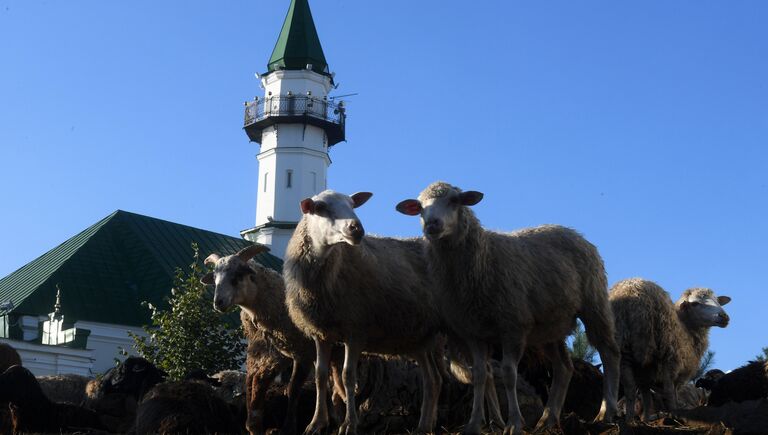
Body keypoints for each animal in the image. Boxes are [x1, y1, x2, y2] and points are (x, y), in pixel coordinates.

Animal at [284, 192, 444, 435]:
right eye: (320, 208)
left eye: (353, 205)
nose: (357, 228)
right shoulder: (321, 333)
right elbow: (320, 376)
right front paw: (316, 423)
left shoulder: (356, 330)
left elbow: (347, 376)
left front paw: (349, 424)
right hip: (419, 338)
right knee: (432, 380)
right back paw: (424, 426)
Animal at [400, 181, 620, 435]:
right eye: (419, 208)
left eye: (454, 200)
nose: (432, 224)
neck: (481, 260)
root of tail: (573, 232)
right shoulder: (473, 332)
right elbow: (479, 375)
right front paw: (474, 424)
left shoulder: (513, 325)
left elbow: (508, 374)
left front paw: (514, 423)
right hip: (550, 325)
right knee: (564, 367)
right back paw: (547, 420)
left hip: (594, 303)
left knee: (609, 353)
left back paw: (606, 412)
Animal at [608, 280, 728, 422]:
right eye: (695, 303)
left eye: (718, 301)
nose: (724, 316)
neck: (687, 330)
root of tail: (629, 292)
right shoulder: (677, 370)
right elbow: (673, 394)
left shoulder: (646, 373)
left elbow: (646, 396)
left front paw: (646, 420)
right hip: (666, 353)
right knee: (668, 391)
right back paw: (675, 416)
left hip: (623, 346)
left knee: (630, 388)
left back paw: (630, 420)